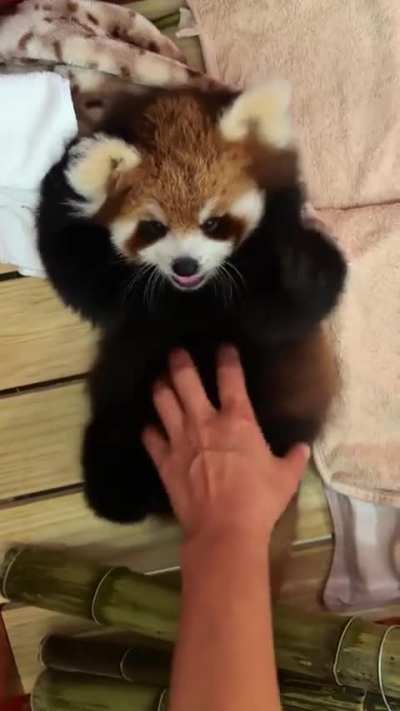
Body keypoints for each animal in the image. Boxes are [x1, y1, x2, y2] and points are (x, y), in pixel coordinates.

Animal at [38, 80, 347, 524]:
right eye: (154, 227)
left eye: (212, 223)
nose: (186, 265)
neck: (193, 296)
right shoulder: (122, 297)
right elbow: (67, 263)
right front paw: (69, 161)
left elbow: (292, 310)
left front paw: (299, 263)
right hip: (124, 407)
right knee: (111, 454)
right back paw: (118, 495)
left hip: (278, 406)